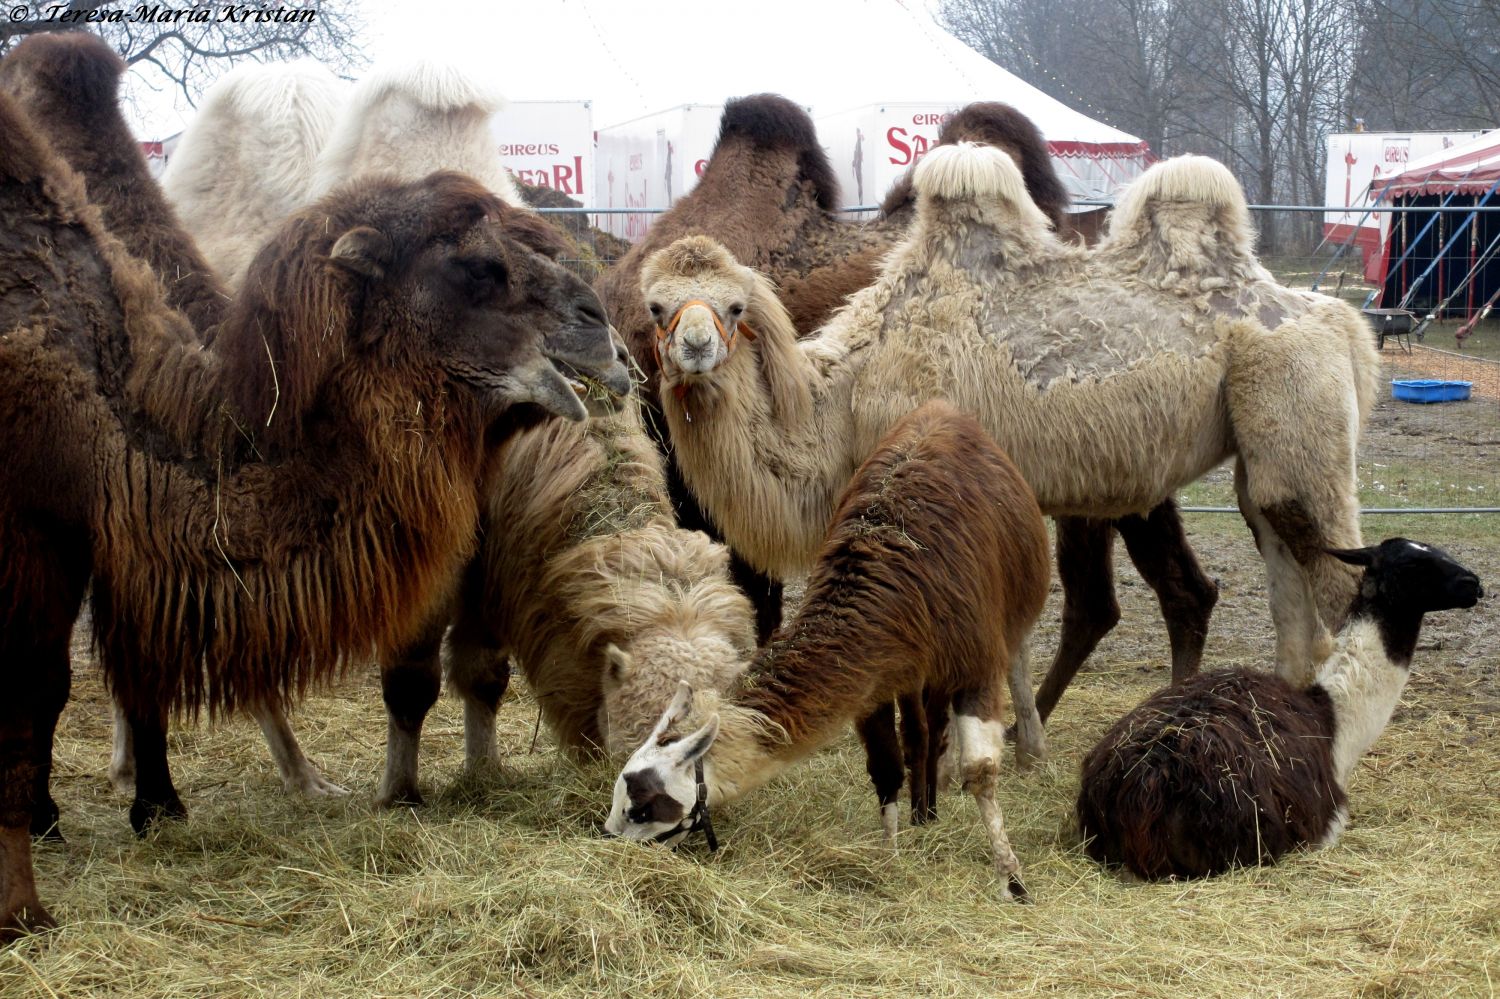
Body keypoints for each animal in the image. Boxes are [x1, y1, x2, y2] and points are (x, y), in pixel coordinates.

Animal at [0, 83, 630, 936]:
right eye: (477, 267)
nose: (606, 335)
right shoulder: (32, 527)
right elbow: (33, 691)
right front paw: (29, 888)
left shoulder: (77, 530)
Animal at [603, 402, 1050, 900]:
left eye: (641, 807)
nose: (609, 842)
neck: (900, 591)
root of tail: (940, 411)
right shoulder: (874, 682)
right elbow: (886, 768)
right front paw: (890, 860)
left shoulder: (974, 664)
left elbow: (982, 770)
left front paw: (1012, 879)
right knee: (922, 728)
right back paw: (928, 806)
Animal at [645, 144, 1380, 762]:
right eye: (656, 307)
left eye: (735, 307)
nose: (695, 346)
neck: (849, 393)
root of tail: (1338, 319)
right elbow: (1016, 632)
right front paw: (1023, 746)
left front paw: (972, 751)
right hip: (1261, 453)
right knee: (1283, 574)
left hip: (1300, 413)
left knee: (1339, 582)